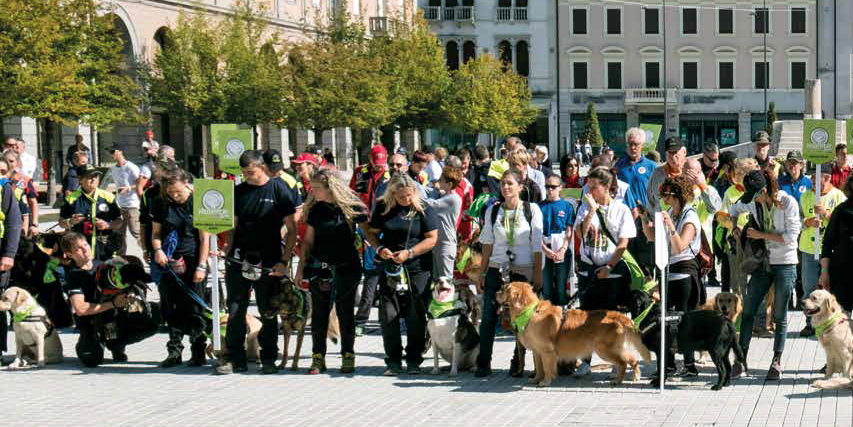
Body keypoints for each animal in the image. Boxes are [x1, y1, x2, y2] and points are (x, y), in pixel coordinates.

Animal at [496, 280, 648, 388]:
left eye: (503, 289)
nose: (495, 293)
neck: (529, 312)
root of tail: (618, 315)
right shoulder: (537, 351)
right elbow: (539, 368)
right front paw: (536, 379)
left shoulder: (546, 351)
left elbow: (547, 368)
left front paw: (545, 382)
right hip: (614, 348)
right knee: (632, 359)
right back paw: (635, 376)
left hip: (604, 349)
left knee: (622, 363)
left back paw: (618, 380)